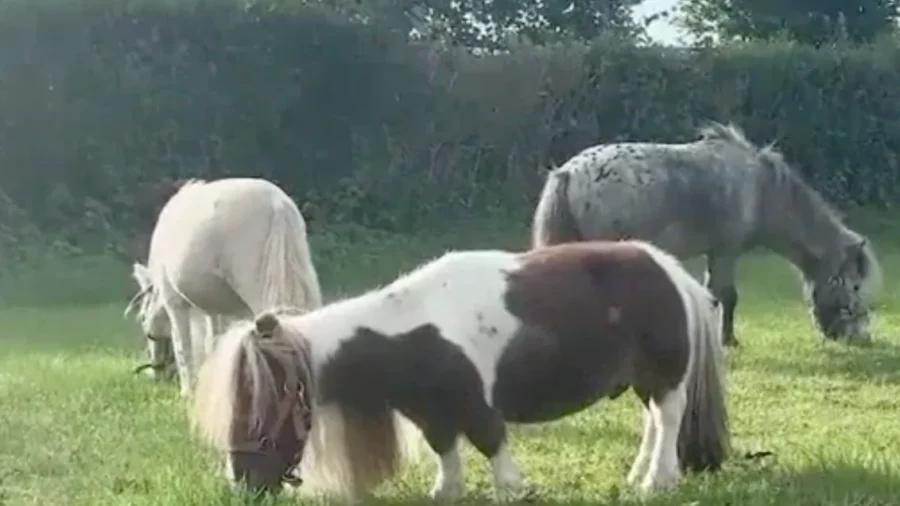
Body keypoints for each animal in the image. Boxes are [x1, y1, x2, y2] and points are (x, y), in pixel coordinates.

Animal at [124, 177, 324, 397]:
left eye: (143, 320)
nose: (157, 376)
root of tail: (277, 204)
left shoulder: (174, 302)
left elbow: (182, 345)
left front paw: (188, 391)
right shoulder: (215, 309)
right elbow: (215, 340)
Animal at [190, 239, 729, 501]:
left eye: (261, 407)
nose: (242, 482)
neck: (407, 333)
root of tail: (670, 270)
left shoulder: (474, 403)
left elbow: (490, 442)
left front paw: (510, 489)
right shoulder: (430, 412)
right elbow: (444, 450)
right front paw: (445, 491)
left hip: (666, 378)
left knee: (668, 421)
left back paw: (656, 481)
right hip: (641, 381)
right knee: (653, 424)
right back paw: (639, 474)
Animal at [531, 122, 882, 346]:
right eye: (854, 285)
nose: (859, 337)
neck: (761, 190)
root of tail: (569, 172)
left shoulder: (715, 252)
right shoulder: (727, 251)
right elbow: (727, 295)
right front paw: (729, 340)